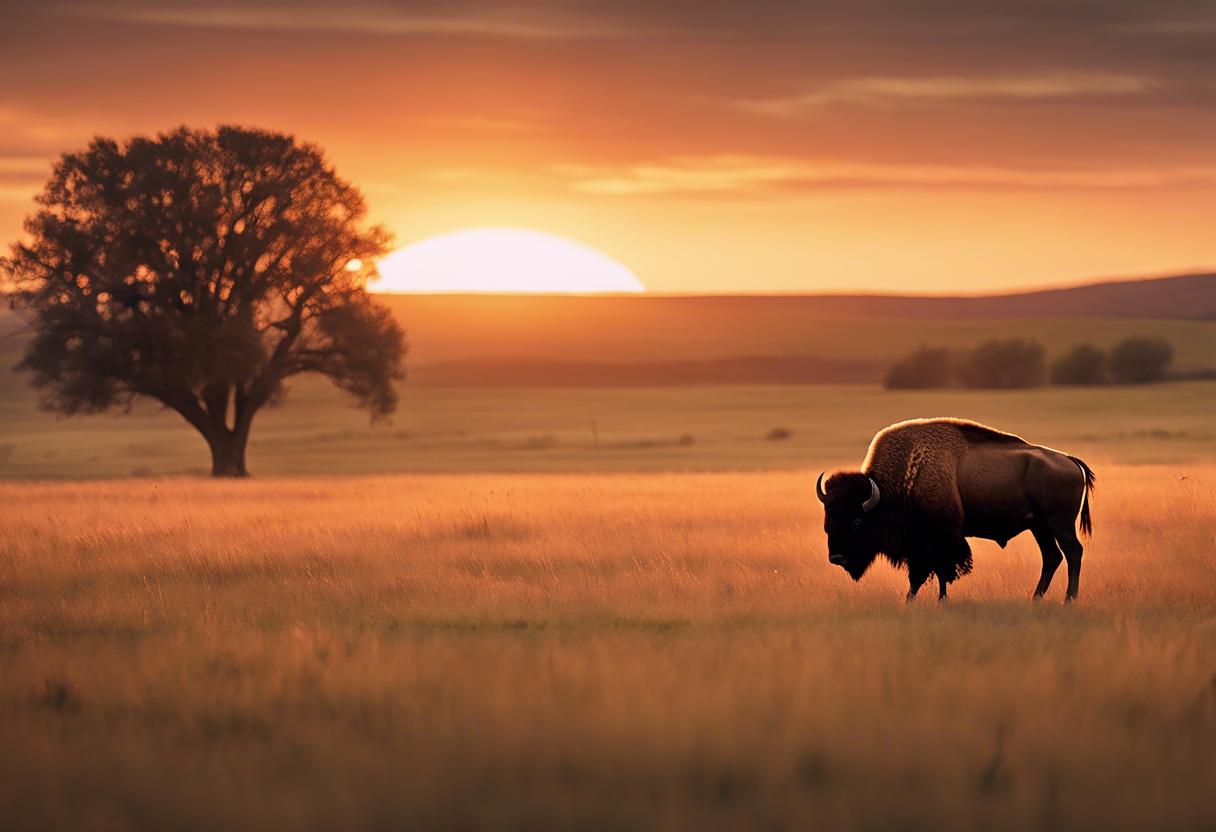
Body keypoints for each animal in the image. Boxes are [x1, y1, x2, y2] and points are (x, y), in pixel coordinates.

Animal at [817, 418, 1094, 600]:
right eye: (828, 520)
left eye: (857, 521)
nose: (836, 558)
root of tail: (1070, 460)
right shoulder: (921, 545)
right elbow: (920, 576)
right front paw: (910, 600)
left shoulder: (941, 538)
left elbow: (939, 571)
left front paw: (939, 600)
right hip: (1039, 527)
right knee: (1052, 557)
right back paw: (1036, 599)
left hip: (1059, 524)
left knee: (1073, 552)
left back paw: (1069, 599)